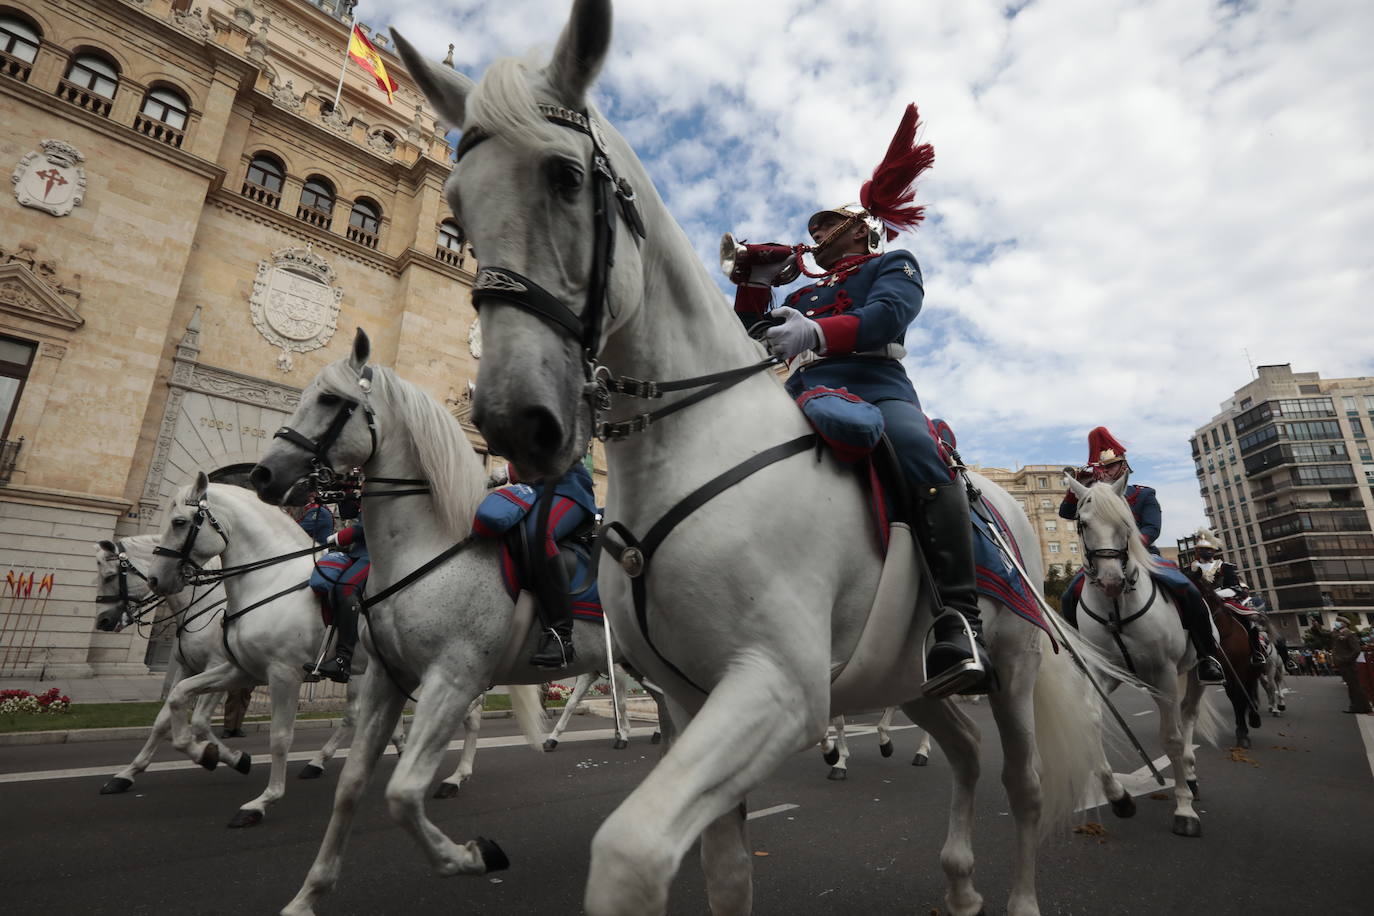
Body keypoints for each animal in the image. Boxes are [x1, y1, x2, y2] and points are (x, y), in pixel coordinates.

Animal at [252, 335, 637, 916]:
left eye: (330, 400)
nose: (263, 475)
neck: (427, 545)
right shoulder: (386, 679)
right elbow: (353, 785)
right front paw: (308, 895)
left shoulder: (452, 680)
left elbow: (402, 794)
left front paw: (474, 856)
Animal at [392, 3, 1121, 911]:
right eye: (454, 207)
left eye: (563, 177)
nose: (514, 422)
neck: (695, 445)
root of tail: (1005, 500)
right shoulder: (685, 701)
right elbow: (724, 871)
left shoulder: (778, 686)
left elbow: (631, 850)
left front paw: (800, 326)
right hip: (908, 680)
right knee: (963, 748)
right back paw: (958, 882)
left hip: (1013, 671)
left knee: (1020, 782)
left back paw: (1013, 890)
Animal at [1060, 477, 1225, 840]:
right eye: (1083, 523)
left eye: (1126, 524)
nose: (1111, 581)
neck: (1115, 608)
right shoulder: (1102, 672)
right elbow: (1092, 718)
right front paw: (1118, 797)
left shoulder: (1164, 672)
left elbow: (1172, 739)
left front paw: (1184, 809)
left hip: (1192, 672)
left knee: (1187, 716)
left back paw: (1189, 777)